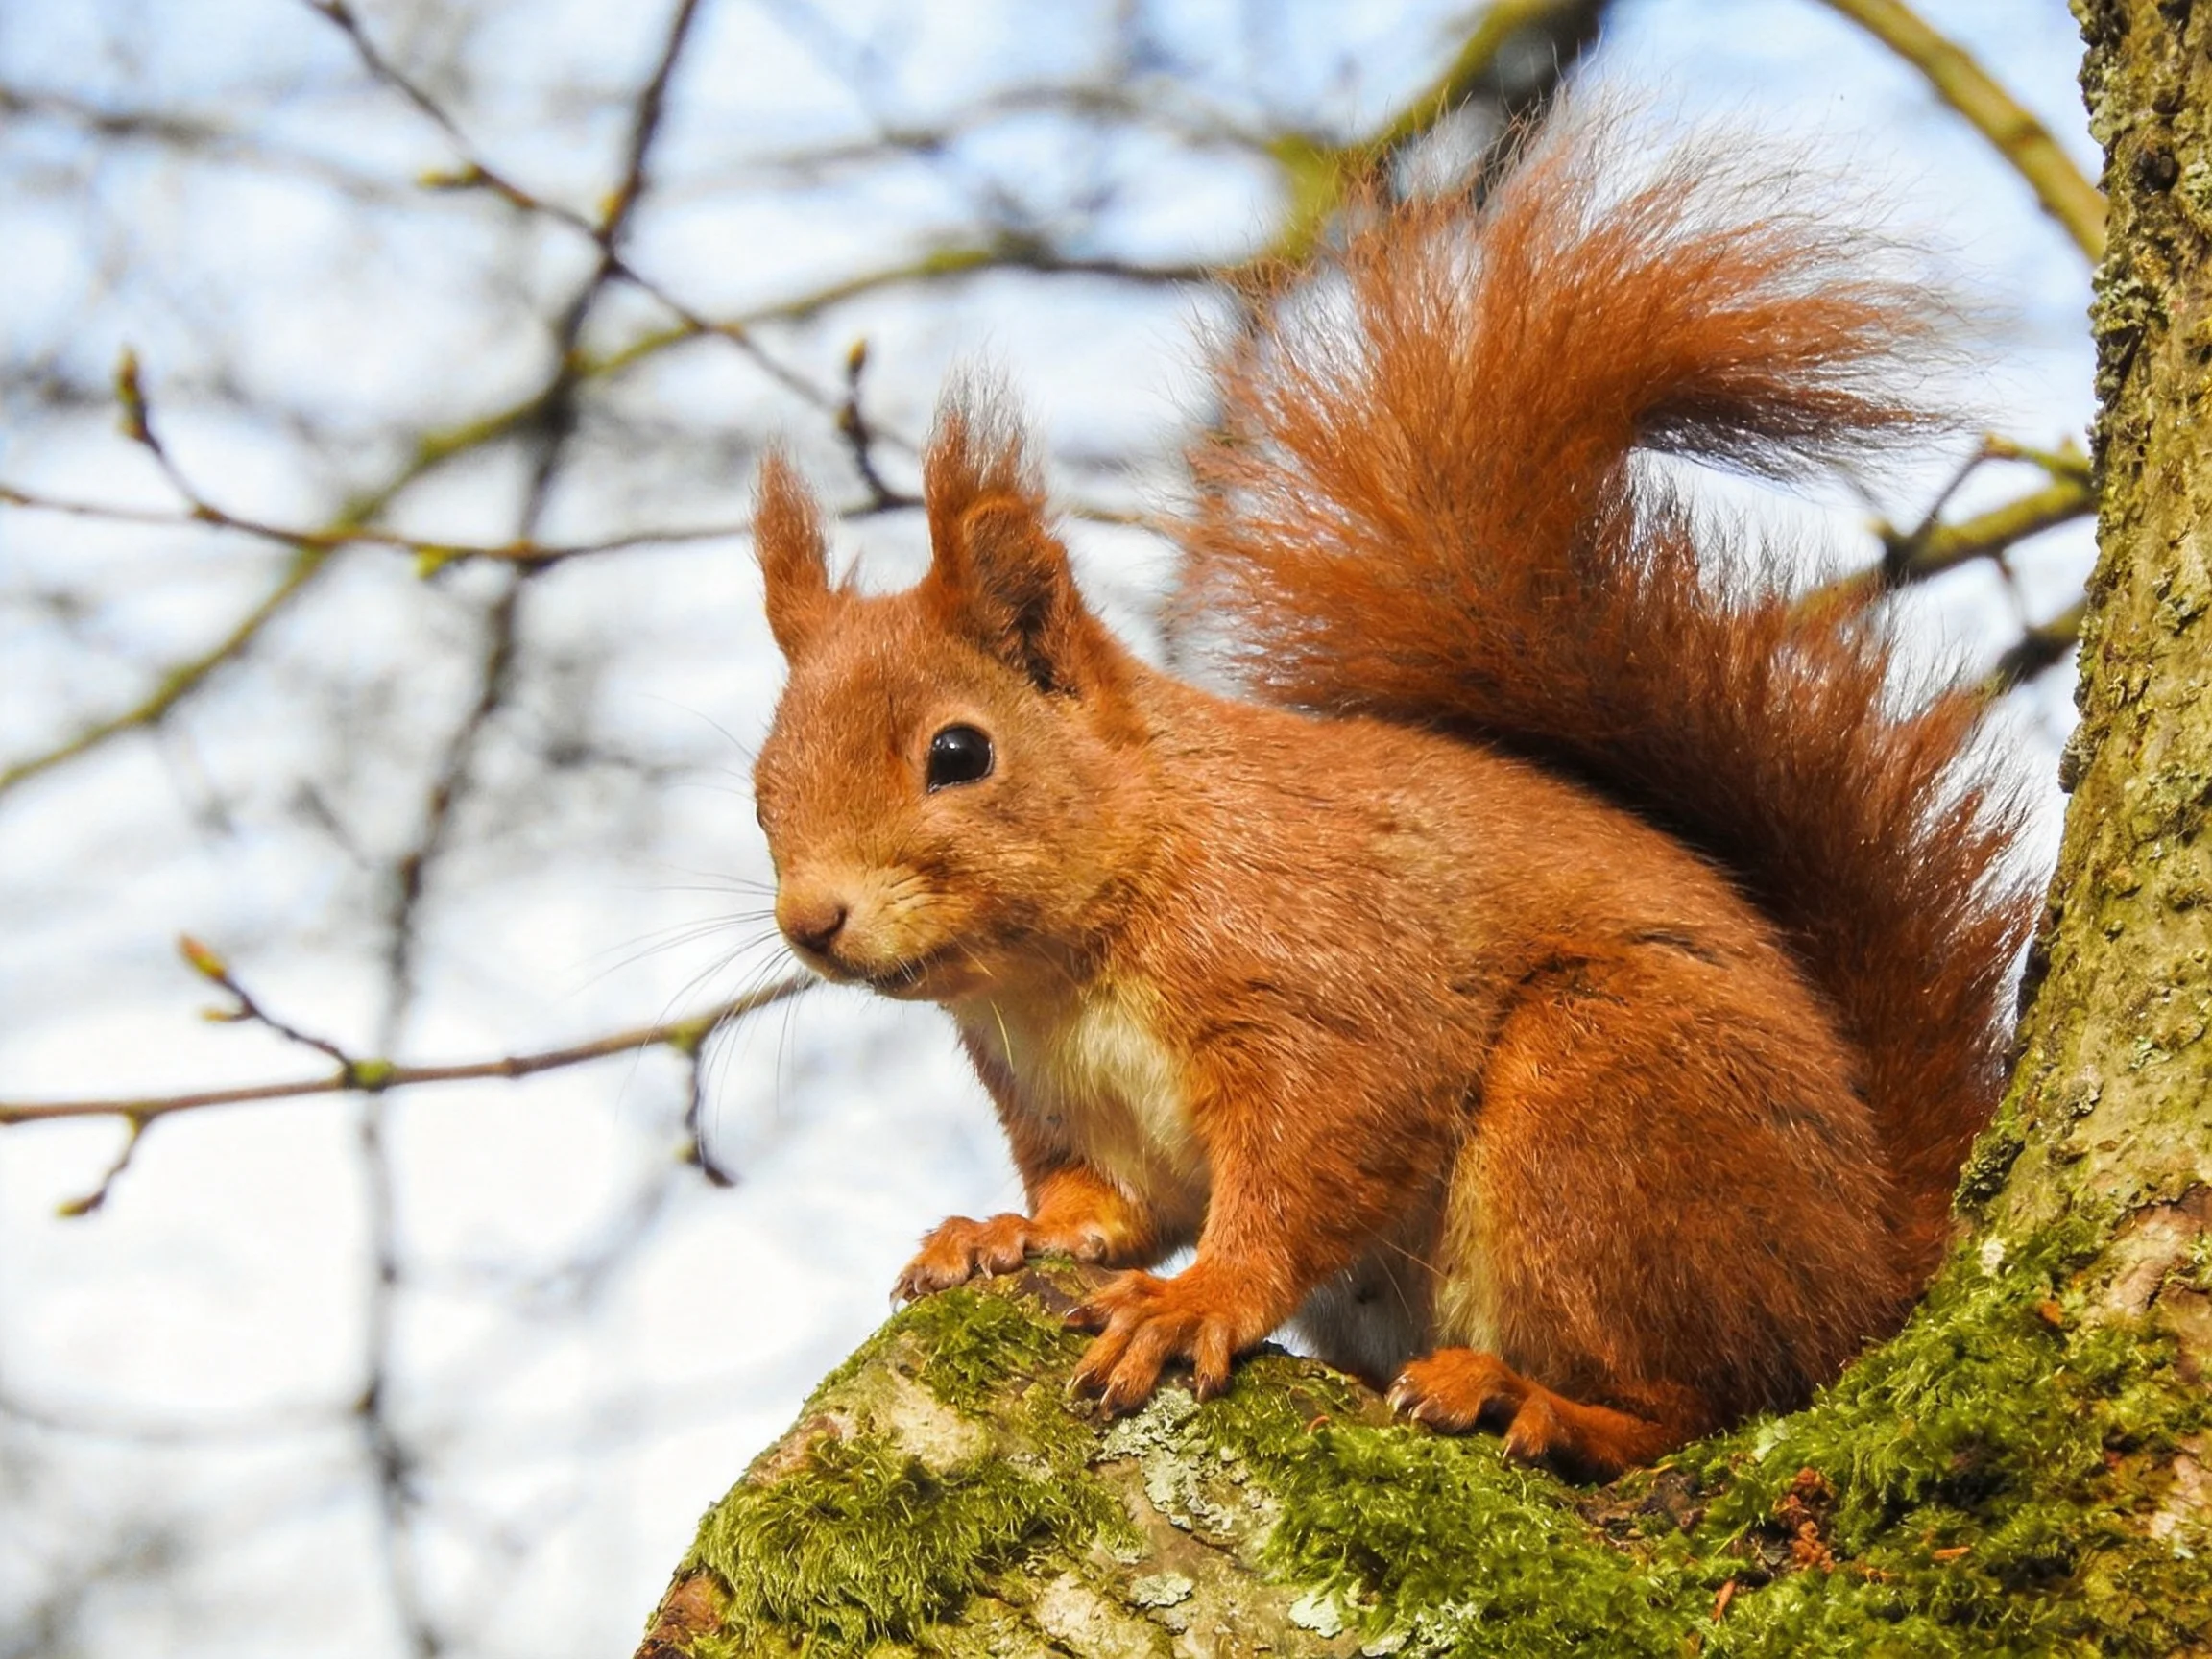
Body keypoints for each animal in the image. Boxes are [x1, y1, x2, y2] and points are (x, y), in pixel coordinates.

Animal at [747, 101, 2037, 1481]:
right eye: (760, 790)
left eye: (958, 754)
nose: (810, 923)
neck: (1067, 966)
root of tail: (1871, 1266)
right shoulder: (1067, 1106)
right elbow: (1109, 1208)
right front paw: (1007, 1234)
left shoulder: (1325, 991)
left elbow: (1316, 1158)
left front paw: (1203, 1299)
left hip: (1609, 1107)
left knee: (1708, 1396)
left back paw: (1532, 1404)